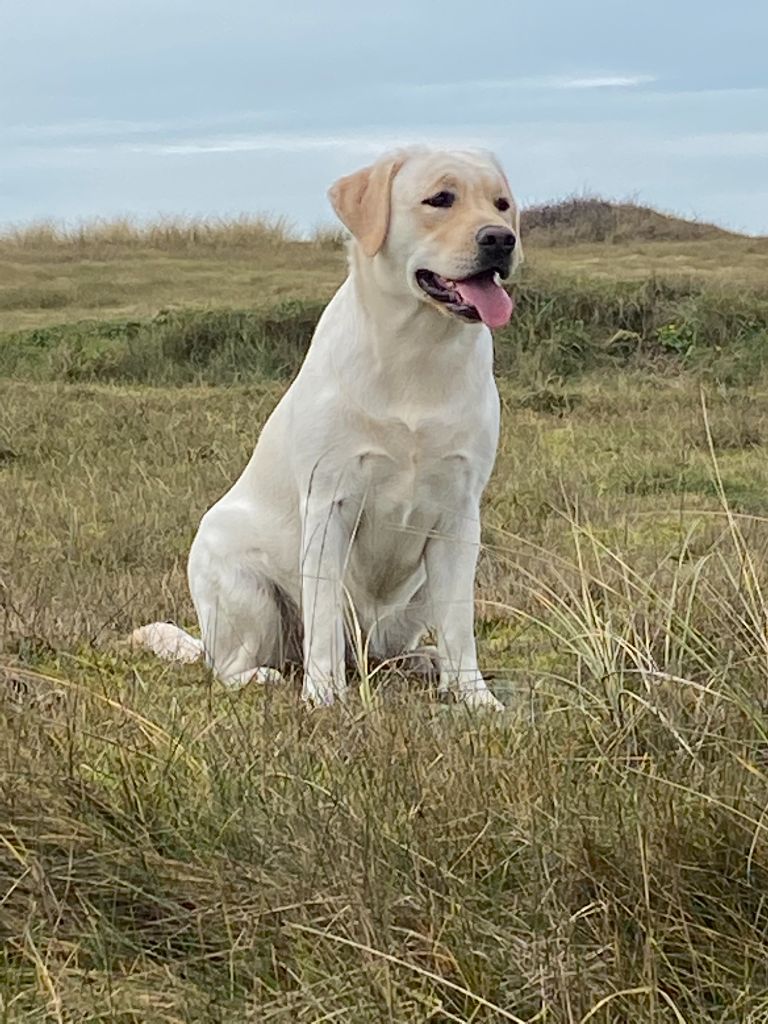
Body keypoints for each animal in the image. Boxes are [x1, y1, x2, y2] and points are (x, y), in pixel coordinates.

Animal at [135, 148, 528, 708]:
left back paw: (423, 662)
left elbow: (460, 624)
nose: (500, 239)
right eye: (440, 198)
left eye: (502, 204)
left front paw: (475, 698)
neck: (417, 354)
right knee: (232, 664)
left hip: (416, 597)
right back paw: (265, 676)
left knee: (392, 651)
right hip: (243, 584)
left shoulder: (459, 514)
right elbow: (321, 619)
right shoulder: (329, 503)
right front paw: (325, 697)